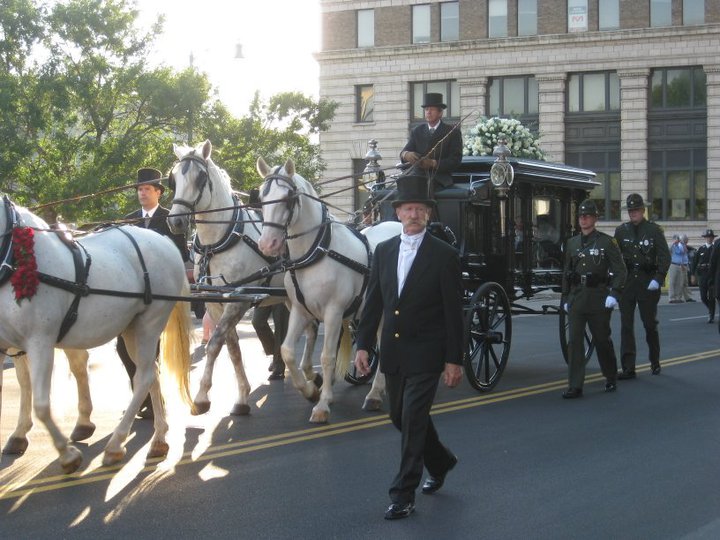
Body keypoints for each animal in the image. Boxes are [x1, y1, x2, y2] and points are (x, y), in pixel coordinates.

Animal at [0, 195, 193, 472]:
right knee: (151, 373)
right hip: (132, 329)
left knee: (143, 377)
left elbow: (42, 404)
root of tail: (165, 241)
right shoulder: (12, 346)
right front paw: (19, 435)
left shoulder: (40, 341)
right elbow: (25, 386)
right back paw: (159, 440)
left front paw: (68, 455)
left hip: (150, 322)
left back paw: (116, 445)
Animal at [169, 141, 318, 416]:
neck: (218, 240)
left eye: (201, 177)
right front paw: (241, 396)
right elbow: (232, 347)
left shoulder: (239, 300)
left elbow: (214, 344)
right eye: (173, 179)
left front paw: (202, 396)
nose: (176, 221)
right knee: (310, 328)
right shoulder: (215, 303)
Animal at [258, 158, 394, 424]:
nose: (267, 244)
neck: (316, 251)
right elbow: (288, 351)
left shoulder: (333, 312)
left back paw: (375, 392)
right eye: (261, 196)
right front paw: (311, 390)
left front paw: (322, 405)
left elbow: (327, 357)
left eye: (288, 196)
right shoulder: (300, 310)